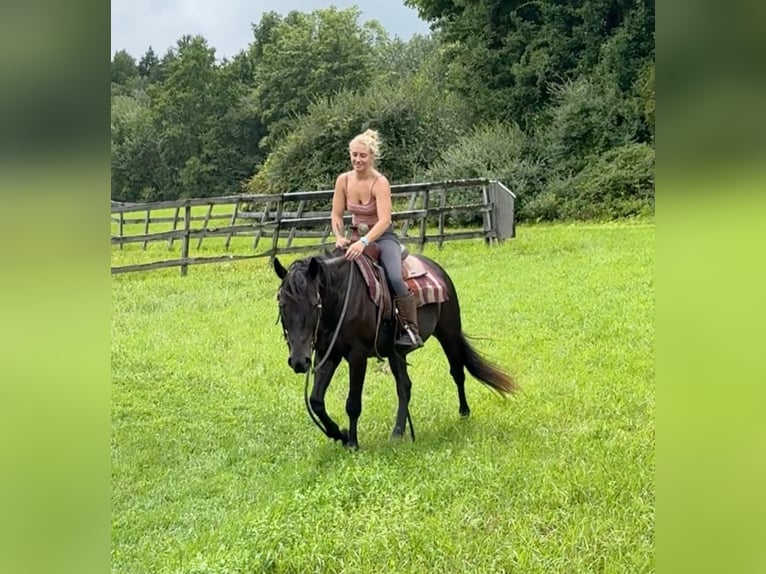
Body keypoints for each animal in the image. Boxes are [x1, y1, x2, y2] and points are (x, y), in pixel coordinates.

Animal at [272, 249, 520, 450]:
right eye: (283, 306)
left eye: (315, 304)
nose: (299, 362)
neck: (342, 299)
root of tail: (437, 269)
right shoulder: (327, 353)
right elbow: (316, 401)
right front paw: (339, 434)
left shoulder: (357, 355)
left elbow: (353, 403)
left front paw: (352, 443)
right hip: (396, 353)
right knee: (405, 388)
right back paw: (398, 432)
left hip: (448, 333)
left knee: (457, 372)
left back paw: (464, 413)